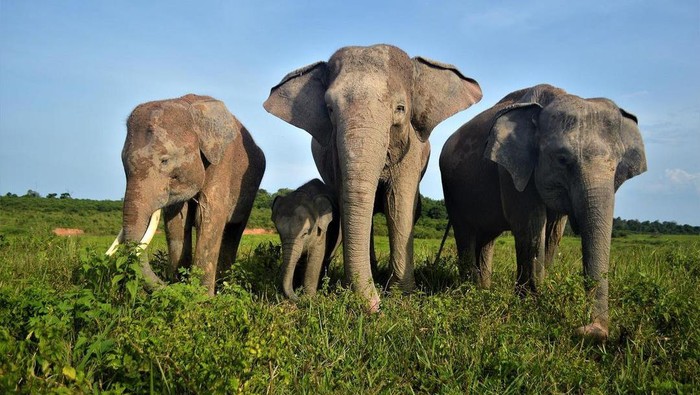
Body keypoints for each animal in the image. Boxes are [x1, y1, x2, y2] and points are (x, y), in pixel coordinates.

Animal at [106, 94, 266, 296]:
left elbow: (207, 216)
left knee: (234, 230)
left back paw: (225, 286)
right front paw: (181, 287)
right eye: (123, 163)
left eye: (165, 161)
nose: (166, 285)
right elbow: (177, 221)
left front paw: (202, 298)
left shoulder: (222, 160)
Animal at [262, 44, 482, 312]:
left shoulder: (411, 148)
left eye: (400, 109)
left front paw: (401, 295)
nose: (376, 305)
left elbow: (399, 204)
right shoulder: (334, 152)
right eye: (330, 109)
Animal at [440, 84, 648, 344]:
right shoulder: (511, 170)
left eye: (617, 165)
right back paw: (471, 292)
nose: (591, 331)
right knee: (466, 234)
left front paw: (537, 298)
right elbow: (530, 226)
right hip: (454, 193)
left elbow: (553, 233)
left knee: (487, 240)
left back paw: (483, 289)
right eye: (562, 159)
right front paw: (530, 306)